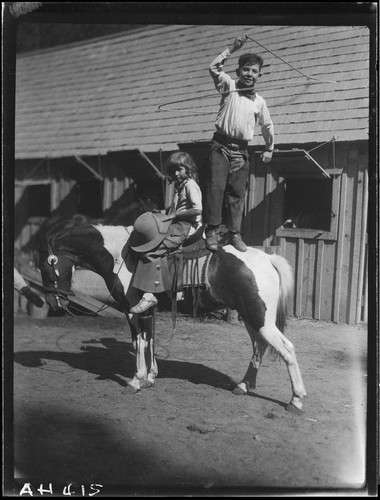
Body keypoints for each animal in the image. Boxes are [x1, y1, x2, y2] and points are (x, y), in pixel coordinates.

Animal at [37, 222, 306, 410]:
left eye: (47, 266)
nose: (52, 301)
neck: (120, 256)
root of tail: (267, 258)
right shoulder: (149, 311)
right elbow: (150, 341)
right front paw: (150, 377)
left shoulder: (133, 311)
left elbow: (139, 342)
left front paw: (136, 381)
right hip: (252, 318)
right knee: (259, 347)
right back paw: (243, 386)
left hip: (260, 319)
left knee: (287, 349)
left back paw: (296, 400)